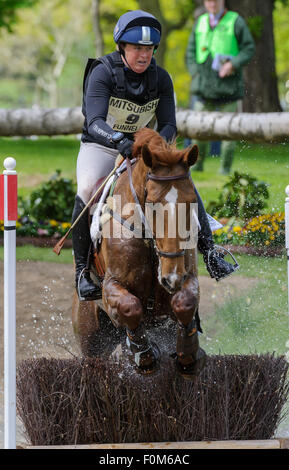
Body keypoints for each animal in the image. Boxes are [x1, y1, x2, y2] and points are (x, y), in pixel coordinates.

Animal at [73, 129, 206, 382]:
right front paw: (145, 356)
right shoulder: (111, 286)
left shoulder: (187, 277)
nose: (171, 278)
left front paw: (187, 356)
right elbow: (130, 307)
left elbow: (184, 303)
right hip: (91, 337)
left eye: (192, 201)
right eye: (152, 203)